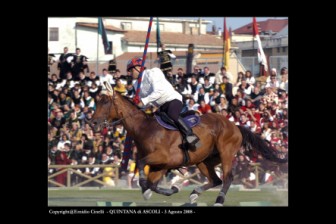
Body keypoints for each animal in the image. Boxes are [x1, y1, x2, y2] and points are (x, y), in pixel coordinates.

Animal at [92, 83, 286, 206]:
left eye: (106, 102)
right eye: (97, 101)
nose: (92, 122)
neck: (144, 128)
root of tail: (235, 125)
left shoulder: (161, 158)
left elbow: (141, 165)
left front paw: (145, 187)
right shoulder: (161, 165)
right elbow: (153, 183)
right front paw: (169, 189)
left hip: (226, 152)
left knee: (227, 178)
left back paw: (219, 200)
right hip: (203, 160)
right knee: (215, 179)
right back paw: (194, 194)